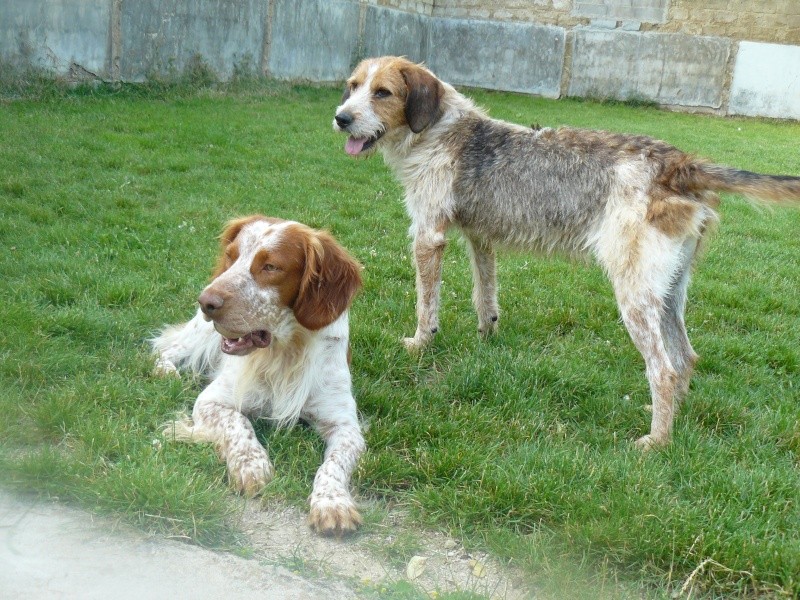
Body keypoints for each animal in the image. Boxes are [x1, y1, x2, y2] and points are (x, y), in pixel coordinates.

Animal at [152, 214, 364, 536]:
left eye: (271, 267)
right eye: (231, 256)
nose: (206, 301)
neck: (285, 351)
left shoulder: (346, 425)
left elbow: (334, 464)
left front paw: (332, 503)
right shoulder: (211, 401)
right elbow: (238, 423)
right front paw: (251, 466)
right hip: (199, 338)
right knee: (164, 349)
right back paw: (167, 372)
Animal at [332, 56, 800, 450]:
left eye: (383, 92)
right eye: (353, 86)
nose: (341, 118)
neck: (438, 131)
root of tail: (680, 165)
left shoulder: (428, 236)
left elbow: (426, 302)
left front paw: (420, 343)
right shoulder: (480, 238)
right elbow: (485, 294)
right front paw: (487, 336)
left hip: (634, 296)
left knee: (663, 369)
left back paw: (657, 441)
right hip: (667, 292)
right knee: (684, 358)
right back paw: (666, 417)